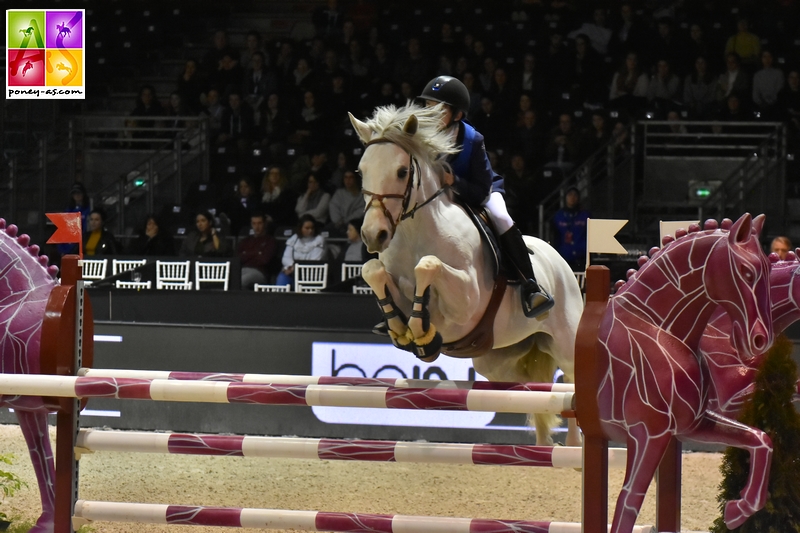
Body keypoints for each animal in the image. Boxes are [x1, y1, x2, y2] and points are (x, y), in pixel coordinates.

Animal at [346, 105, 584, 444]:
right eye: (361, 171)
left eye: (402, 172)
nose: (372, 235)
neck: (415, 233)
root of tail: (560, 261)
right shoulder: (389, 276)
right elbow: (373, 270)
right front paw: (402, 329)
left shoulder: (466, 303)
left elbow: (427, 266)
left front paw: (421, 331)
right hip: (496, 362)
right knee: (534, 393)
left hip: (565, 341)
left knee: (571, 383)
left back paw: (574, 448)